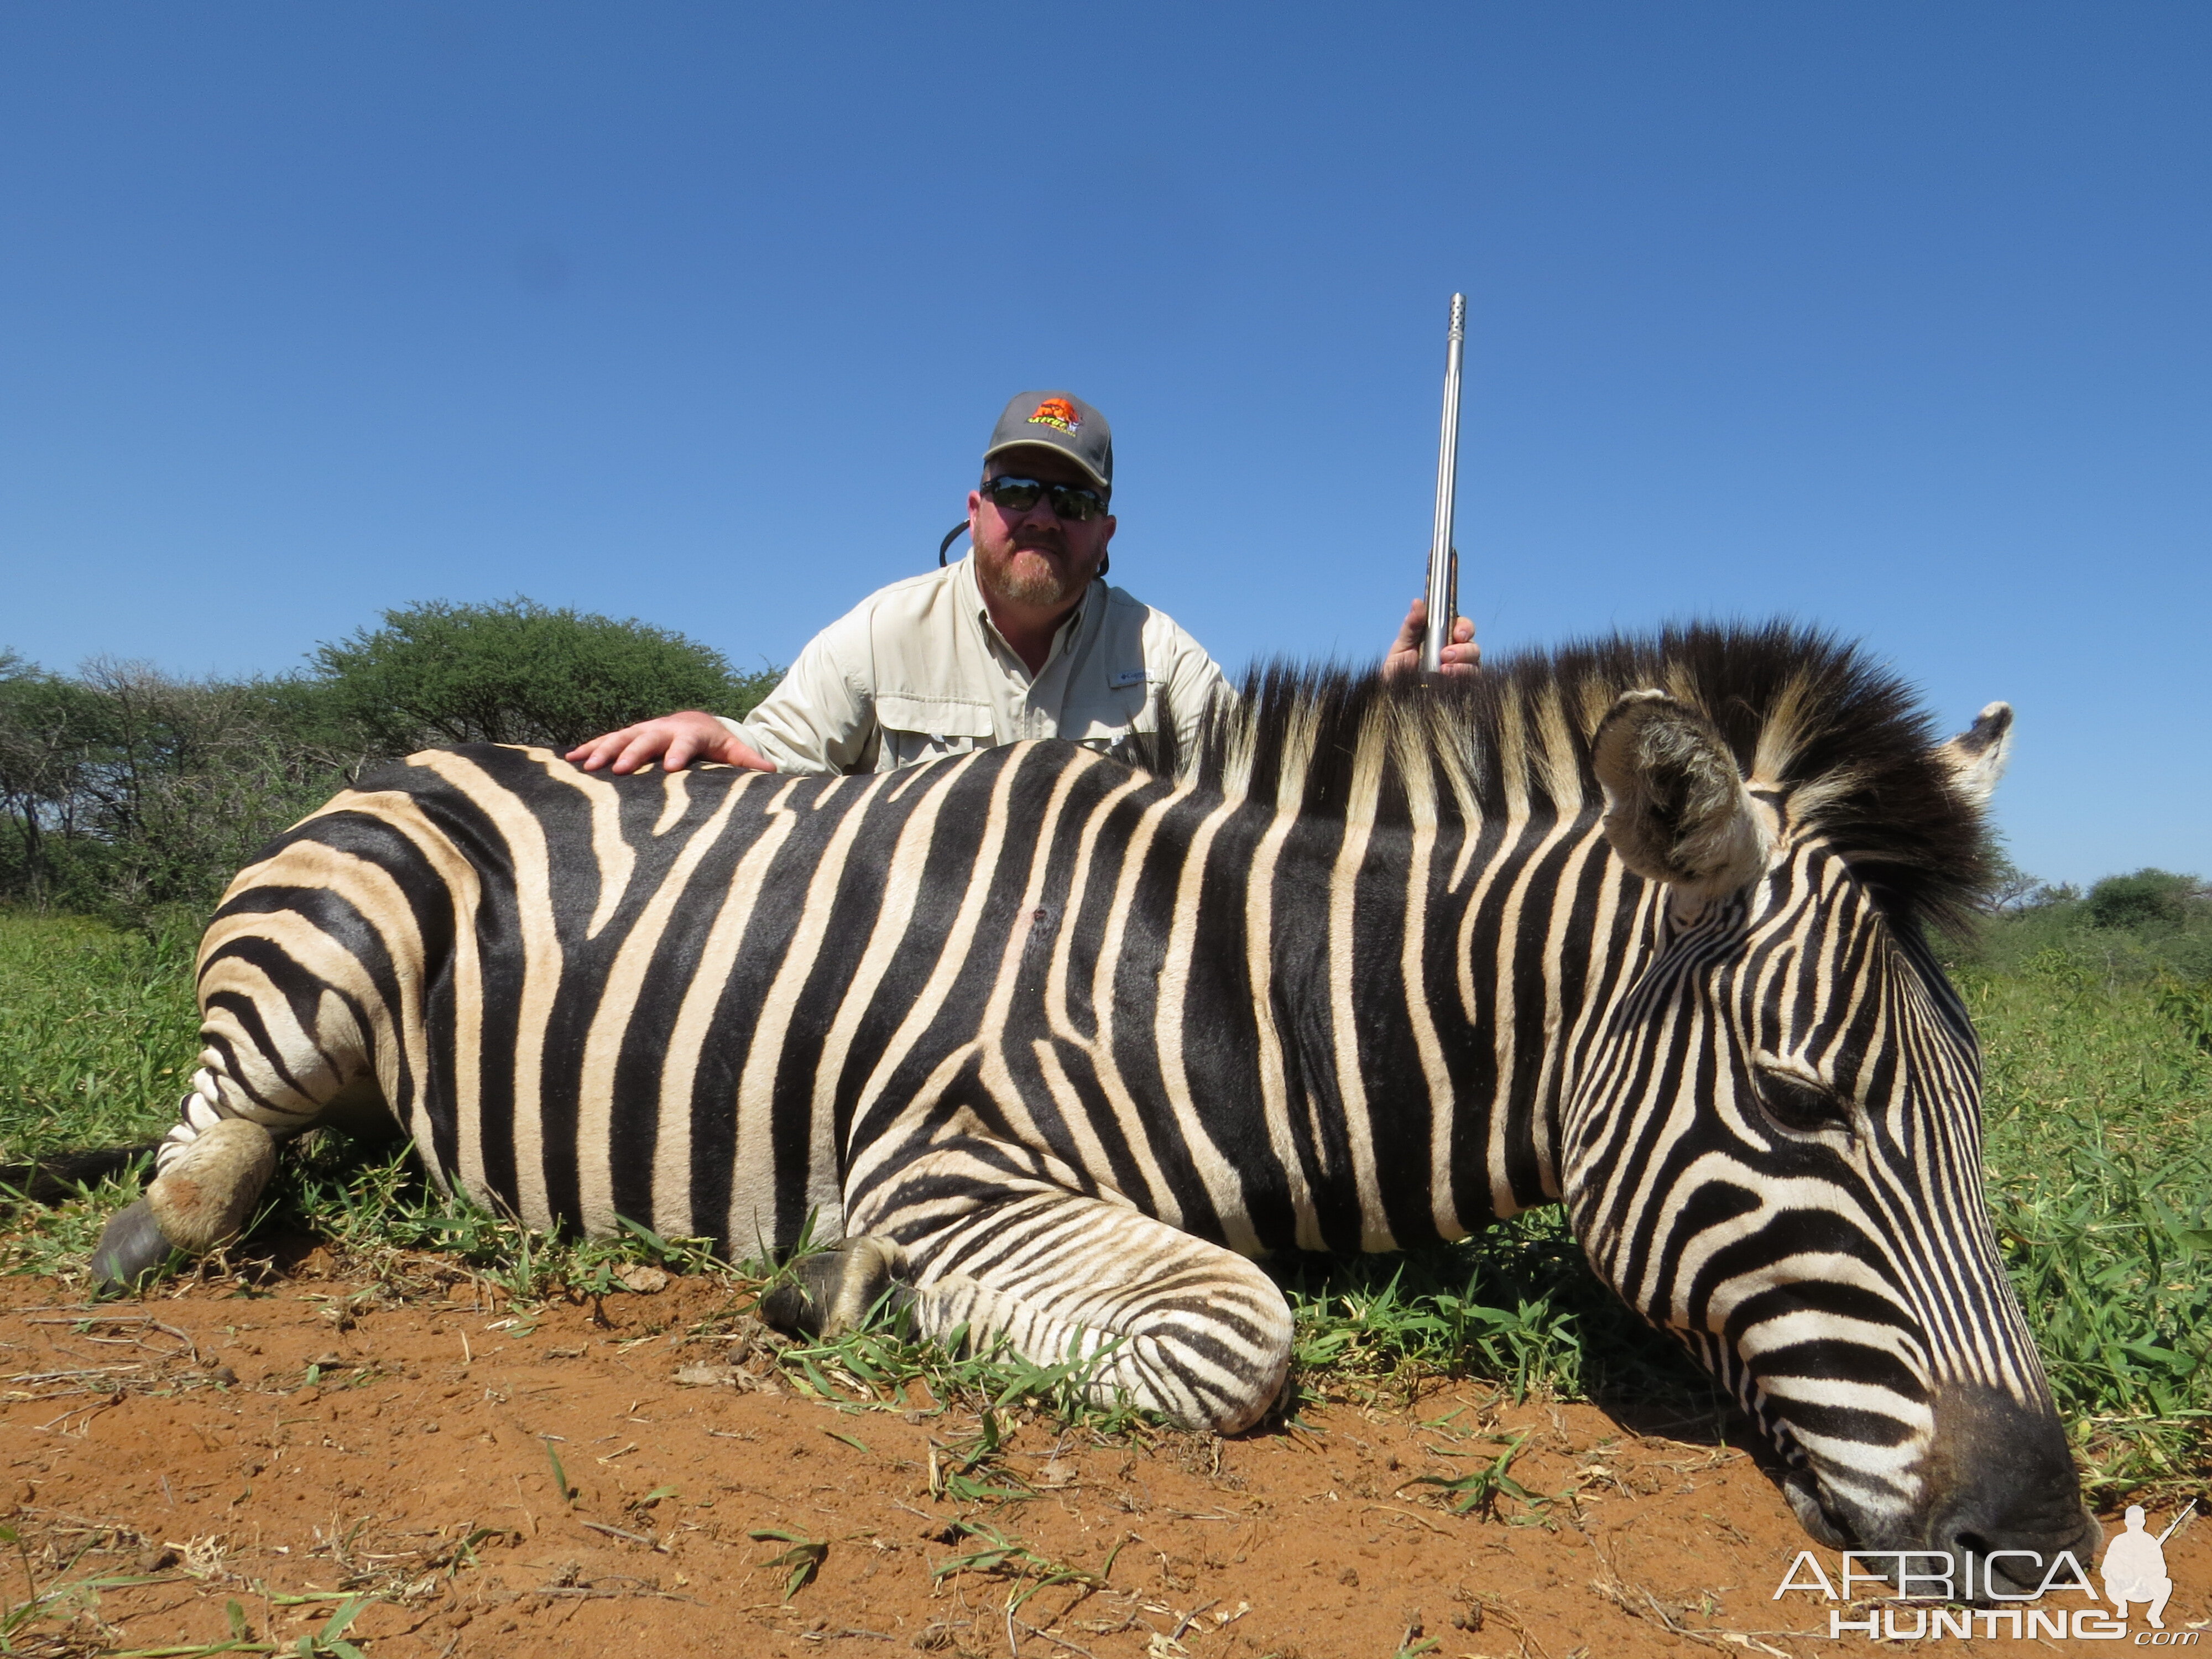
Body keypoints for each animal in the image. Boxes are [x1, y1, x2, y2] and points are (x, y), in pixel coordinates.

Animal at [82, 624, 2088, 1584]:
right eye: (1801, 1099)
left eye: (1975, 1109)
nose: (2043, 1538)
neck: (1244, 984)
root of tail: (418, 751)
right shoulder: (943, 1154)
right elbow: (1234, 1332)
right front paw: (846, 1294)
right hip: (325, 953)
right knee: (211, 1137)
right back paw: (177, 1219)